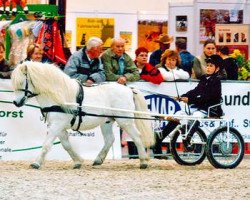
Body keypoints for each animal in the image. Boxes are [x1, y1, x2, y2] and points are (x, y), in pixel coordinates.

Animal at [11, 61, 155, 169]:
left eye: (21, 82)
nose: (16, 102)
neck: (58, 97)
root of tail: (129, 89)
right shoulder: (58, 127)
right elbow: (66, 145)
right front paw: (78, 161)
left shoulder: (57, 125)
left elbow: (47, 144)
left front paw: (36, 163)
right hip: (107, 121)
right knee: (110, 139)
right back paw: (98, 160)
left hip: (126, 121)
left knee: (137, 136)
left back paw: (143, 161)